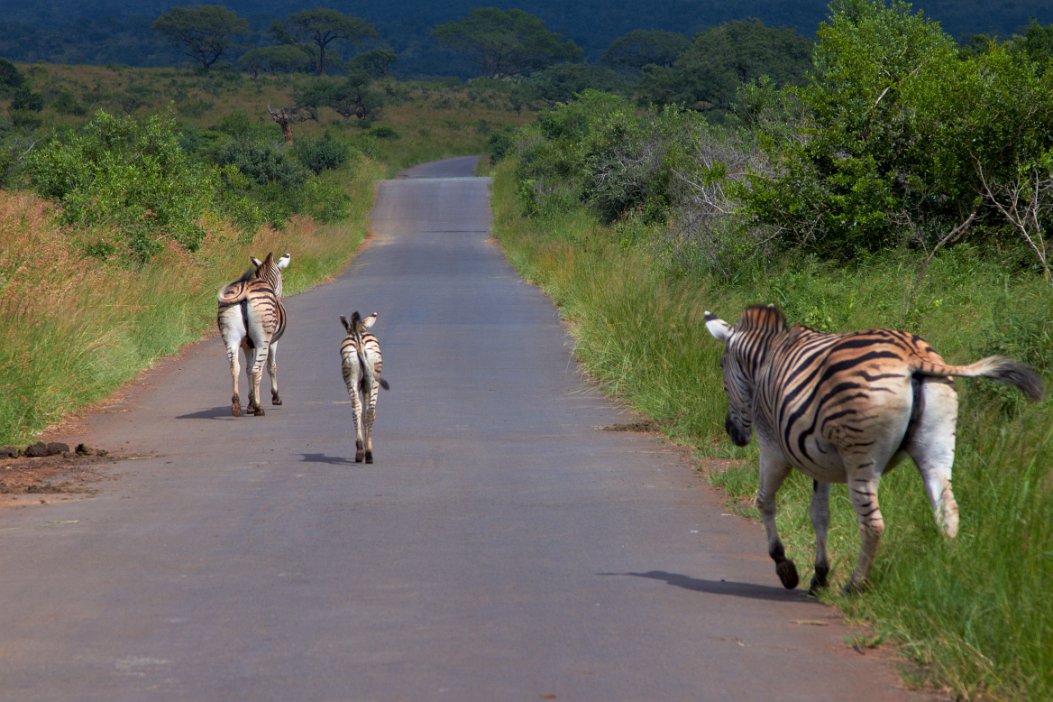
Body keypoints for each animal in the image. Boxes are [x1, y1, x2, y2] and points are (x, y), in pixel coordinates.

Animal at [216, 252, 292, 416]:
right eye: (283, 279)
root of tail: (244, 291)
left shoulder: (246, 345)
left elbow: (247, 369)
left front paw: (250, 403)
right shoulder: (272, 342)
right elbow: (271, 367)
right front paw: (274, 397)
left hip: (230, 337)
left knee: (234, 367)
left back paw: (236, 405)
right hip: (262, 339)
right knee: (257, 370)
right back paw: (259, 407)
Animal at [339, 309, 389, 463]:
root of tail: (359, 342)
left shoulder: (362, 384)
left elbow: (362, 412)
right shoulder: (366, 384)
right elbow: (365, 413)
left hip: (352, 378)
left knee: (357, 408)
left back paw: (361, 451)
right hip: (372, 377)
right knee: (369, 410)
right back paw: (367, 452)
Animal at [703, 303, 1040, 593]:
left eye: (720, 366)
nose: (732, 432)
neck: (765, 360)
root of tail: (913, 356)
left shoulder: (773, 446)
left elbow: (764, 501)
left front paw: (785, 567)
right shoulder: (818, 460)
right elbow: (819, 514)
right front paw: (819, 576)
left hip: (861, 457)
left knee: (874, 524)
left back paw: (855, 585)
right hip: (939, 444)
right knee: (948, 509)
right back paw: (948, 572)